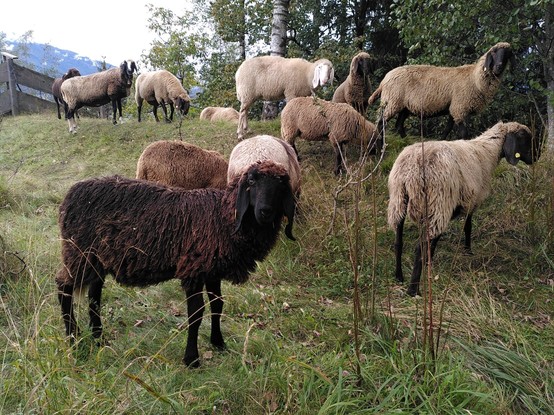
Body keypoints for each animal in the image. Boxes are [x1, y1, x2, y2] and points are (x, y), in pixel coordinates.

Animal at [56, 160, 296, 368]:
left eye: (281, 184)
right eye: (252, 181)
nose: (265, 211)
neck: (222, 217)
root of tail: (69, 196)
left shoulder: (212, 270)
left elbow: (217, 305)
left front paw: (218, 342)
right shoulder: (193, 270)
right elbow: (196, 315)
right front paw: (192, 359)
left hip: (98, 258)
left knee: (94, 294)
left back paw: (98, 337)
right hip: (78, 252)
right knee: (63, 287)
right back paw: (73, 338)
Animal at [366, 42, 512, 140]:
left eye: (507, 54)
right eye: (494, 52)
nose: (499, 67)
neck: (474, 79)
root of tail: (385, 79)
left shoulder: (454, 107)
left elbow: (448, 128)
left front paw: (441, 141)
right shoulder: (459, 107)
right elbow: (463, 132)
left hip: (403, 106)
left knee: (398, 124)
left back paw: (405, 140)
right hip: (392, 101)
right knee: (381, 121)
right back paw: (380, 139)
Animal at [386, 122, 536, 298]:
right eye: (525, 138)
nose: (536, 157)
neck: (487, 151)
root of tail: (411, 169)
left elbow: (436, 240)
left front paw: (431, 262)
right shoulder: (470, 201)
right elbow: (467, 227)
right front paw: (468, 250)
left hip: (399, 200)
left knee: (398, 241)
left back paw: (398, 276)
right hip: (438, 201)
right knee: (420, 248)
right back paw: (413, 290)